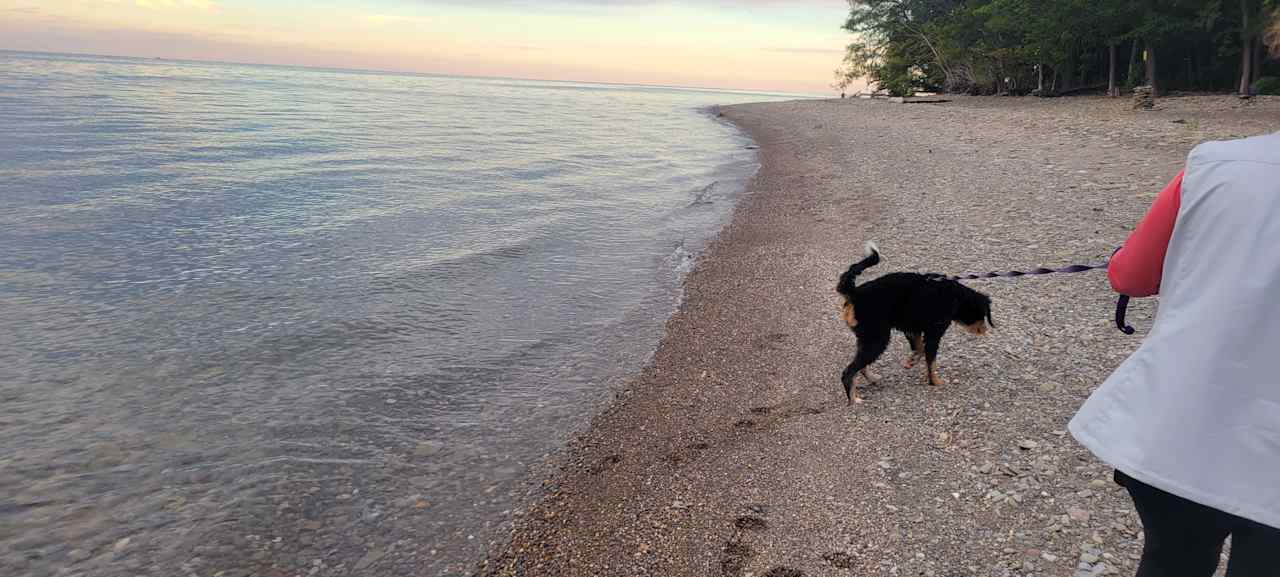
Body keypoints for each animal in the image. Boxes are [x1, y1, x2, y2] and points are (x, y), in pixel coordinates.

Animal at [834, 244, 993, 406]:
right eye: (983, 315)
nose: (985, 330)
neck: (955, 297)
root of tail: (855, 293)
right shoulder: (933, 334)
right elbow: (930, 361)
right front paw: (935, 381)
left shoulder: (911, 329)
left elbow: (919, 349)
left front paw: (912, 361)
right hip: (877, 339)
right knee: (849, 372)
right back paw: (854, 399)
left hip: (867, 339)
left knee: (860, 366)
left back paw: (872, 379)